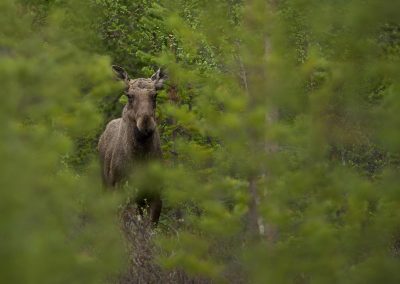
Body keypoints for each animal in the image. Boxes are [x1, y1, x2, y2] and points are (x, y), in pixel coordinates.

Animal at [98, 65, 166, 224]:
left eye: (155, 95)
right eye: (129, 95)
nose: (146, 123)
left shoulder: (155, 194)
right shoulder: (122, 192)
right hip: (105, 186)